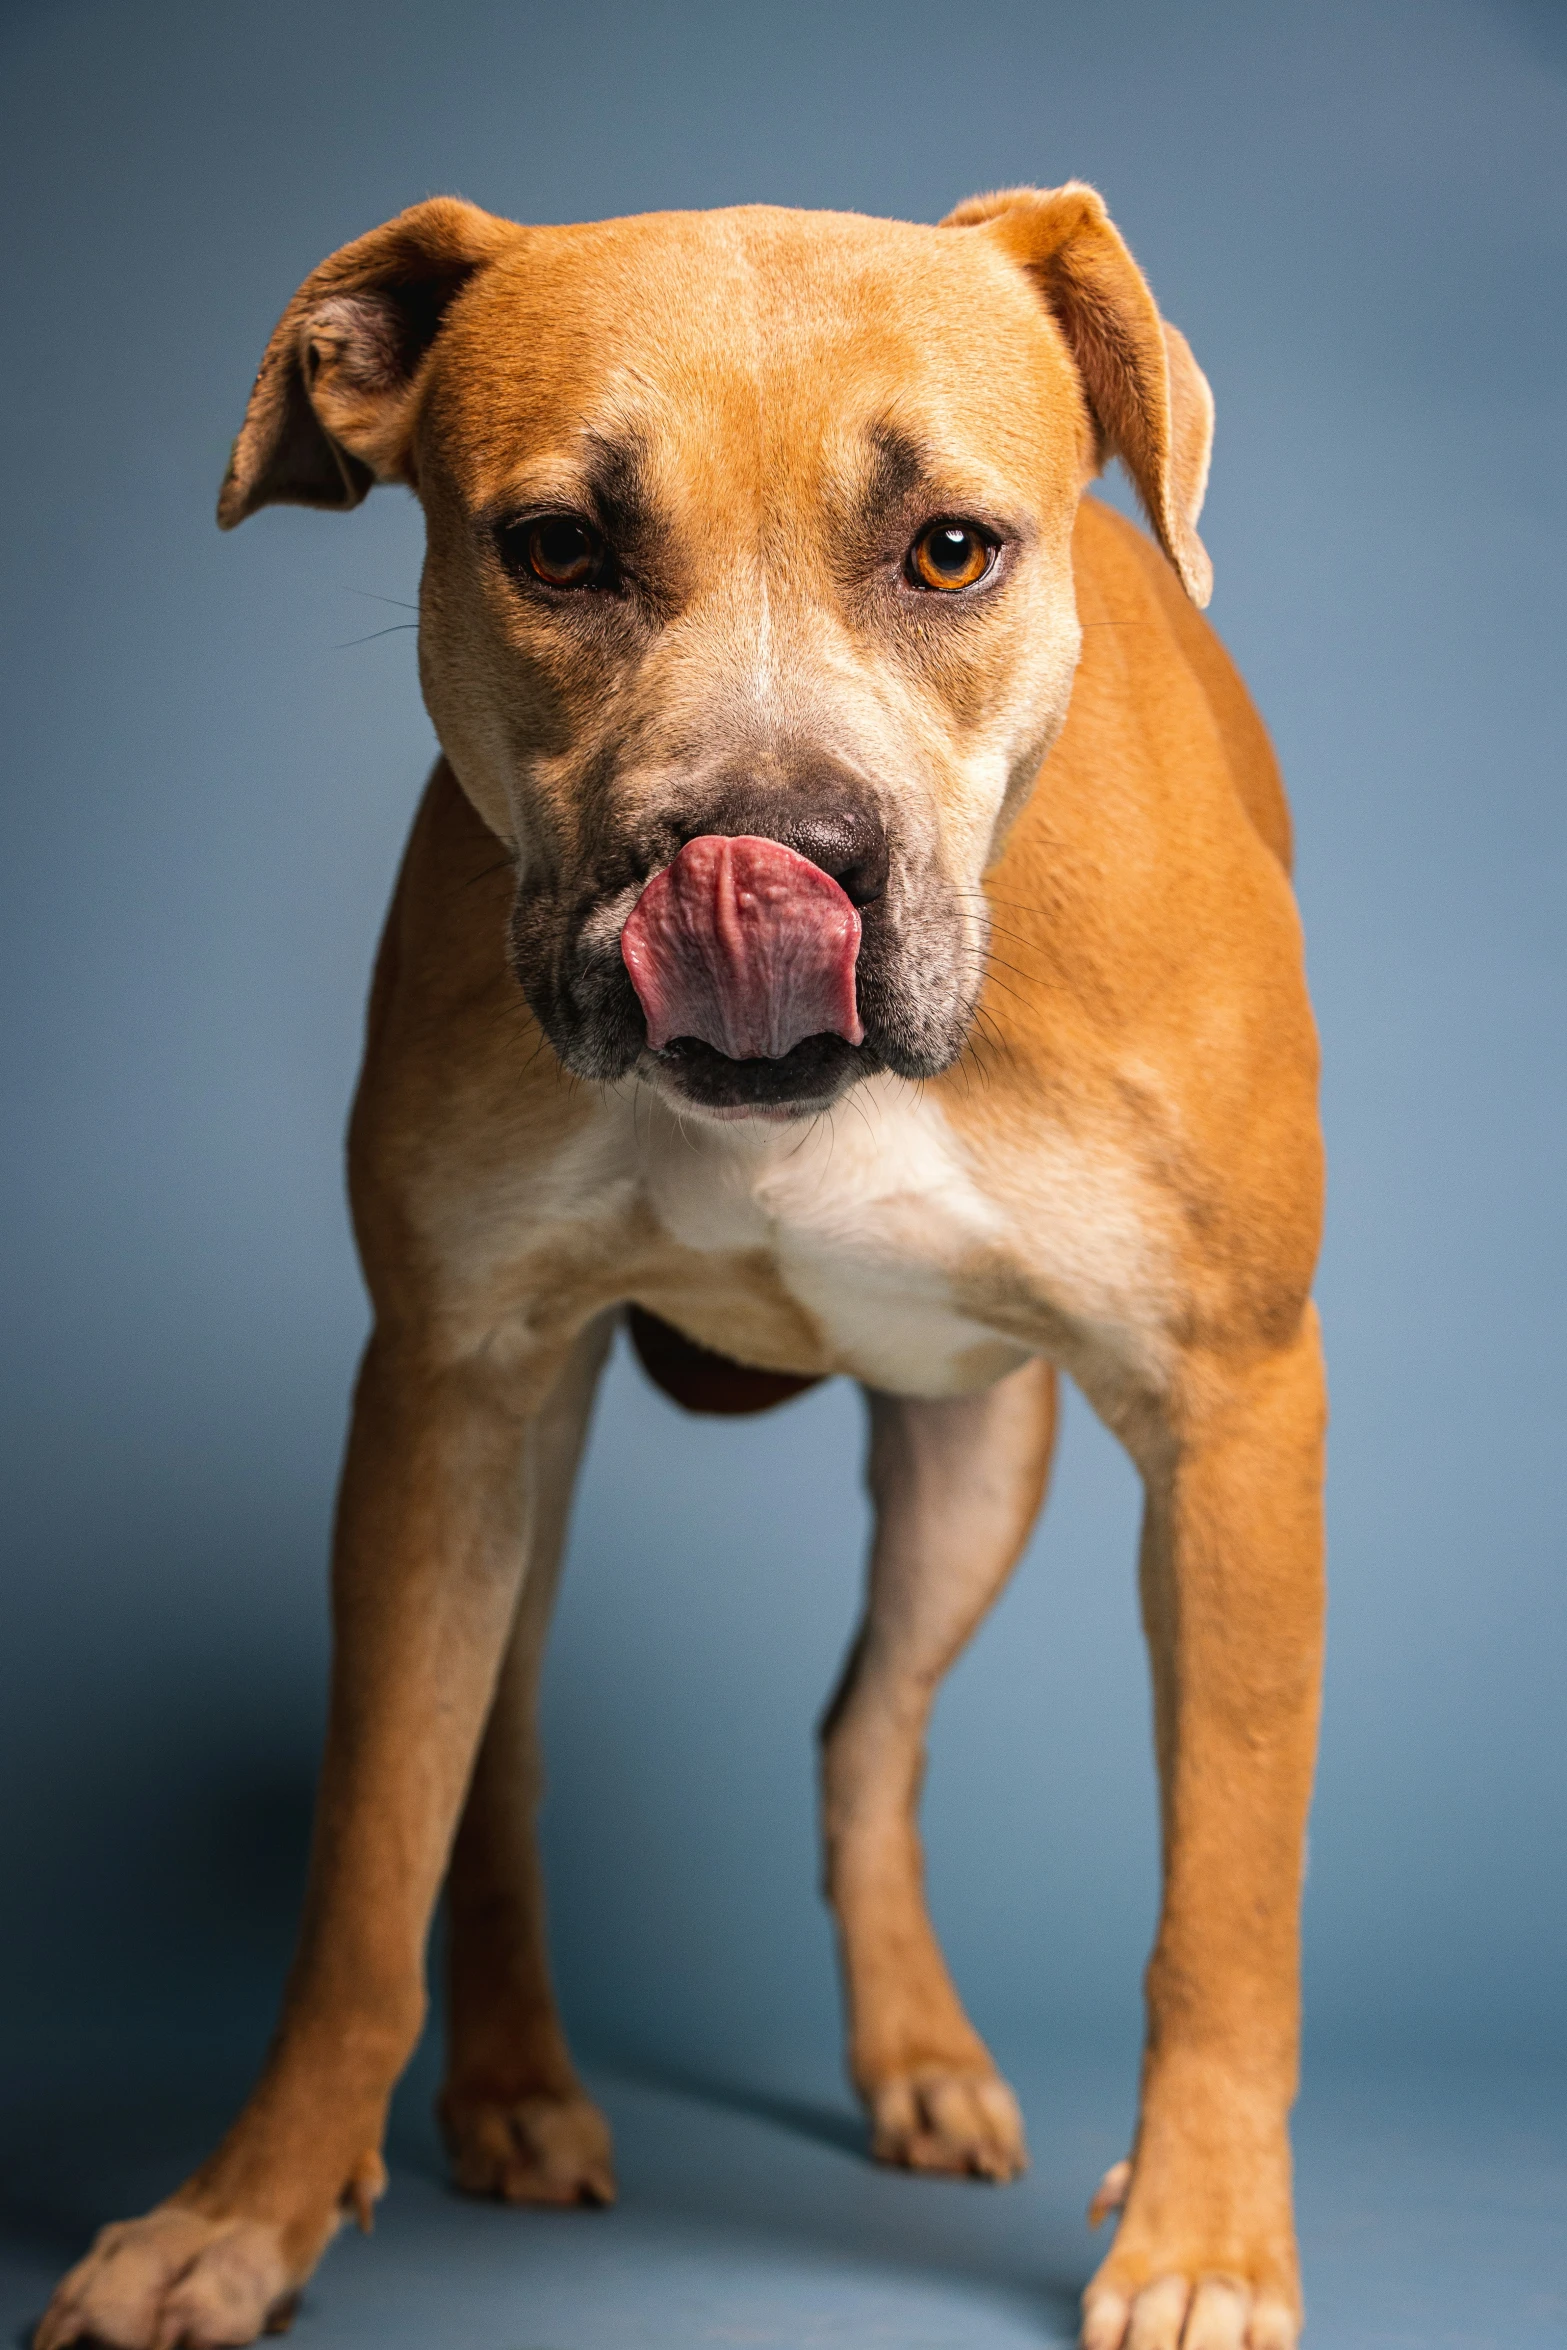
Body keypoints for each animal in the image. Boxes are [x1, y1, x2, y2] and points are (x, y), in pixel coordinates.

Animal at [39, 188, 1325, 2350]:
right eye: (557, 547)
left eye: (951, 549)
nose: (760, 846)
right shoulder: (446, 1377)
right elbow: (366, 1861)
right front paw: (246, 2209)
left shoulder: (1233, 1413)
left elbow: (1222, 1893)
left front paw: (1206, 2240)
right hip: (501, 1462)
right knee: (496, 1758)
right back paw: (511, 2090)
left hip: (975, 1455)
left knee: (866, 1729)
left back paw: (917, 2056)